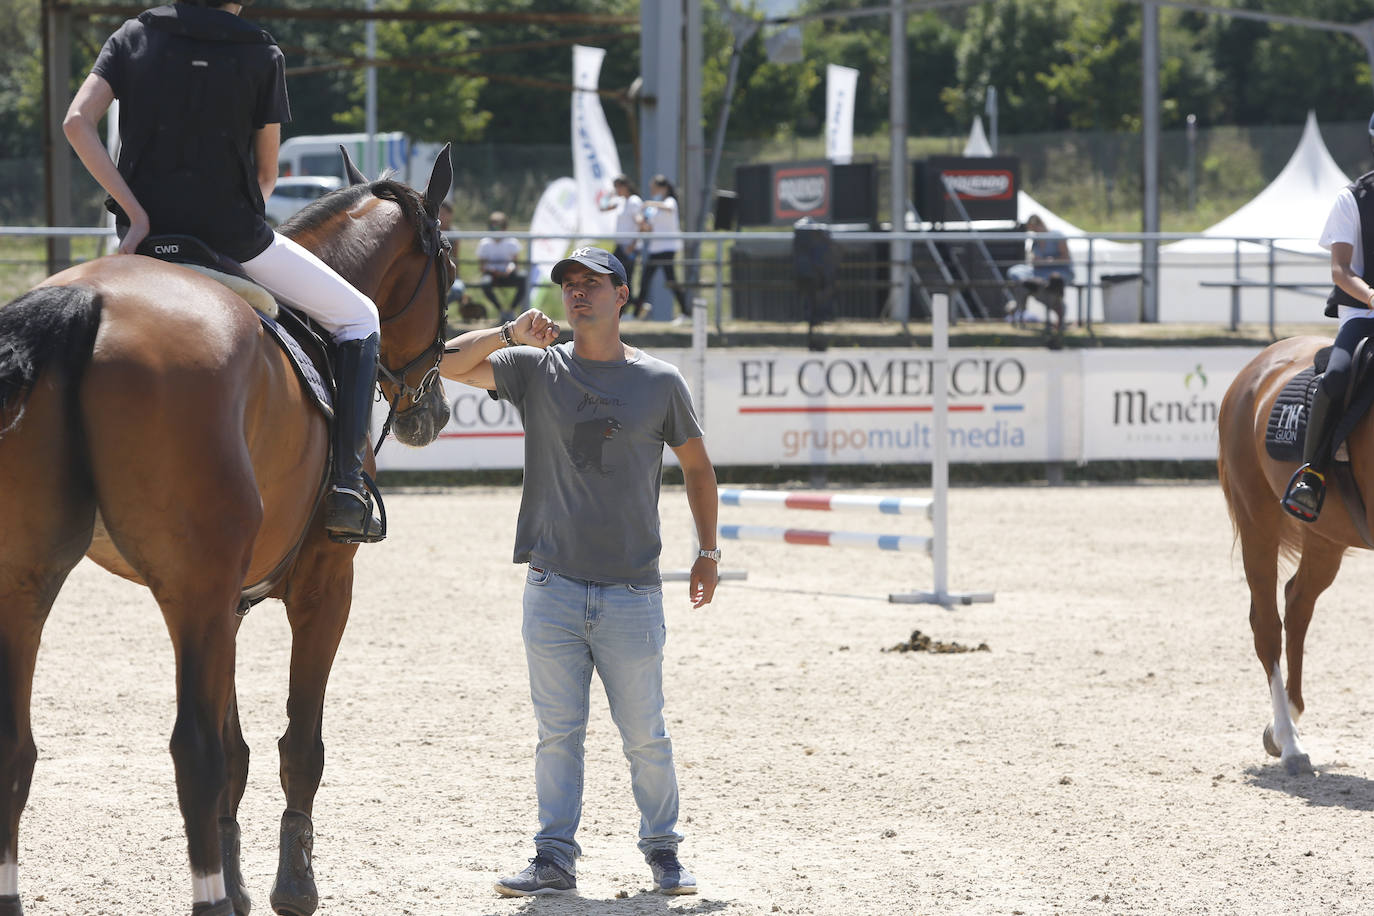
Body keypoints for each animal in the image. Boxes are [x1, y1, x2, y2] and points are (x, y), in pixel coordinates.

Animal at [0, 146, 456, 911]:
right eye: (450, 273)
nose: (437, 414)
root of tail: (91, 302)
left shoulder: (227, 606)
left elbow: (240, 750)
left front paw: (240, 879)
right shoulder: (322, 587)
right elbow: (297, 745)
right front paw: (291, 884)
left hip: (31, 581)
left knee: (15, 746)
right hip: (191, 590)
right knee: (194, 753)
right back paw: (209, 897)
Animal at [1214, 333, 1374, 780]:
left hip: (1326, 538)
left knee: (1297, 602)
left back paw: (1284, 723)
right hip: (1258, 519)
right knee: (1267, 624)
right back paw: (1289, 742)